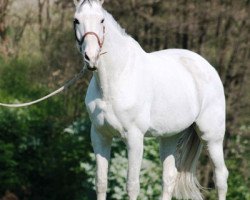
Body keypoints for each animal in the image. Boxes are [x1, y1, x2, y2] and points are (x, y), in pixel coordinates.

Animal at [73, 0, 229, 199]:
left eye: (101, 20)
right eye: (76, 20)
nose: (91, 58)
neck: (116, 79)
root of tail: (208, 67)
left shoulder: (134, 137)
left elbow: (132, 185)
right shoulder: (100, 135)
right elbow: (101, 182)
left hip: (212, 136)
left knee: (221, 176)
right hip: (170, 135)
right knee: (169, 178)